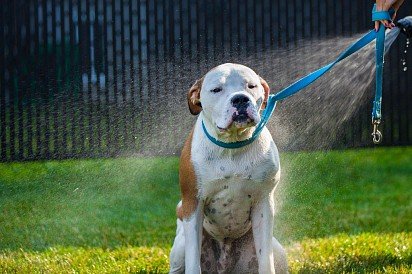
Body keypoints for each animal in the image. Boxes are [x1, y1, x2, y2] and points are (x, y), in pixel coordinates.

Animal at [169, 63, 288, 272]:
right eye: (216, 89)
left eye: (251, 86)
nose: (240, 98)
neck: (232, 145)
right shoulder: (193, 203)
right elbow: (193, 261)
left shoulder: (264, 203)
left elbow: (266, 261)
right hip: (180, 248)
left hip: (278, 250)